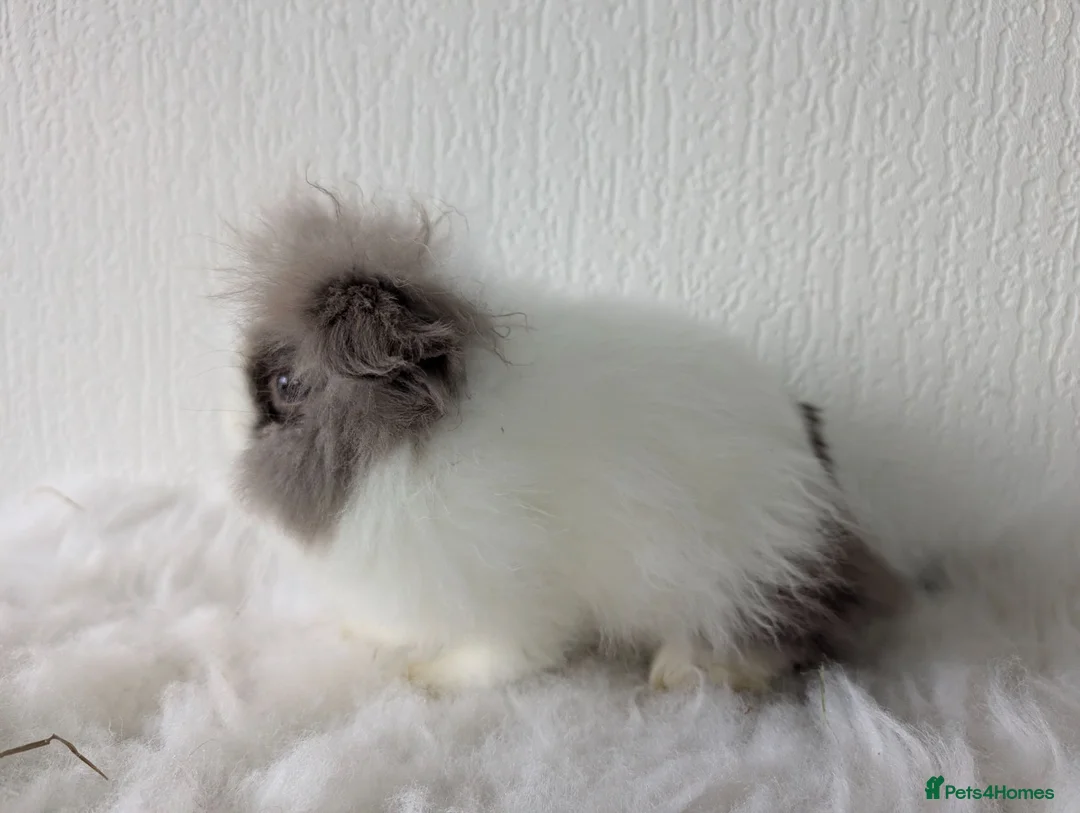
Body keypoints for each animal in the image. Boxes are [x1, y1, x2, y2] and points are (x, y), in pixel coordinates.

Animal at [222, 187, 909, 694]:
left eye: (285, 386)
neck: (410, 448)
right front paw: (370, 635)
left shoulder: (507, 581)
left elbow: (508, 652)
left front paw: (432, 676)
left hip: (744, 572)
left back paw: (686, 673)